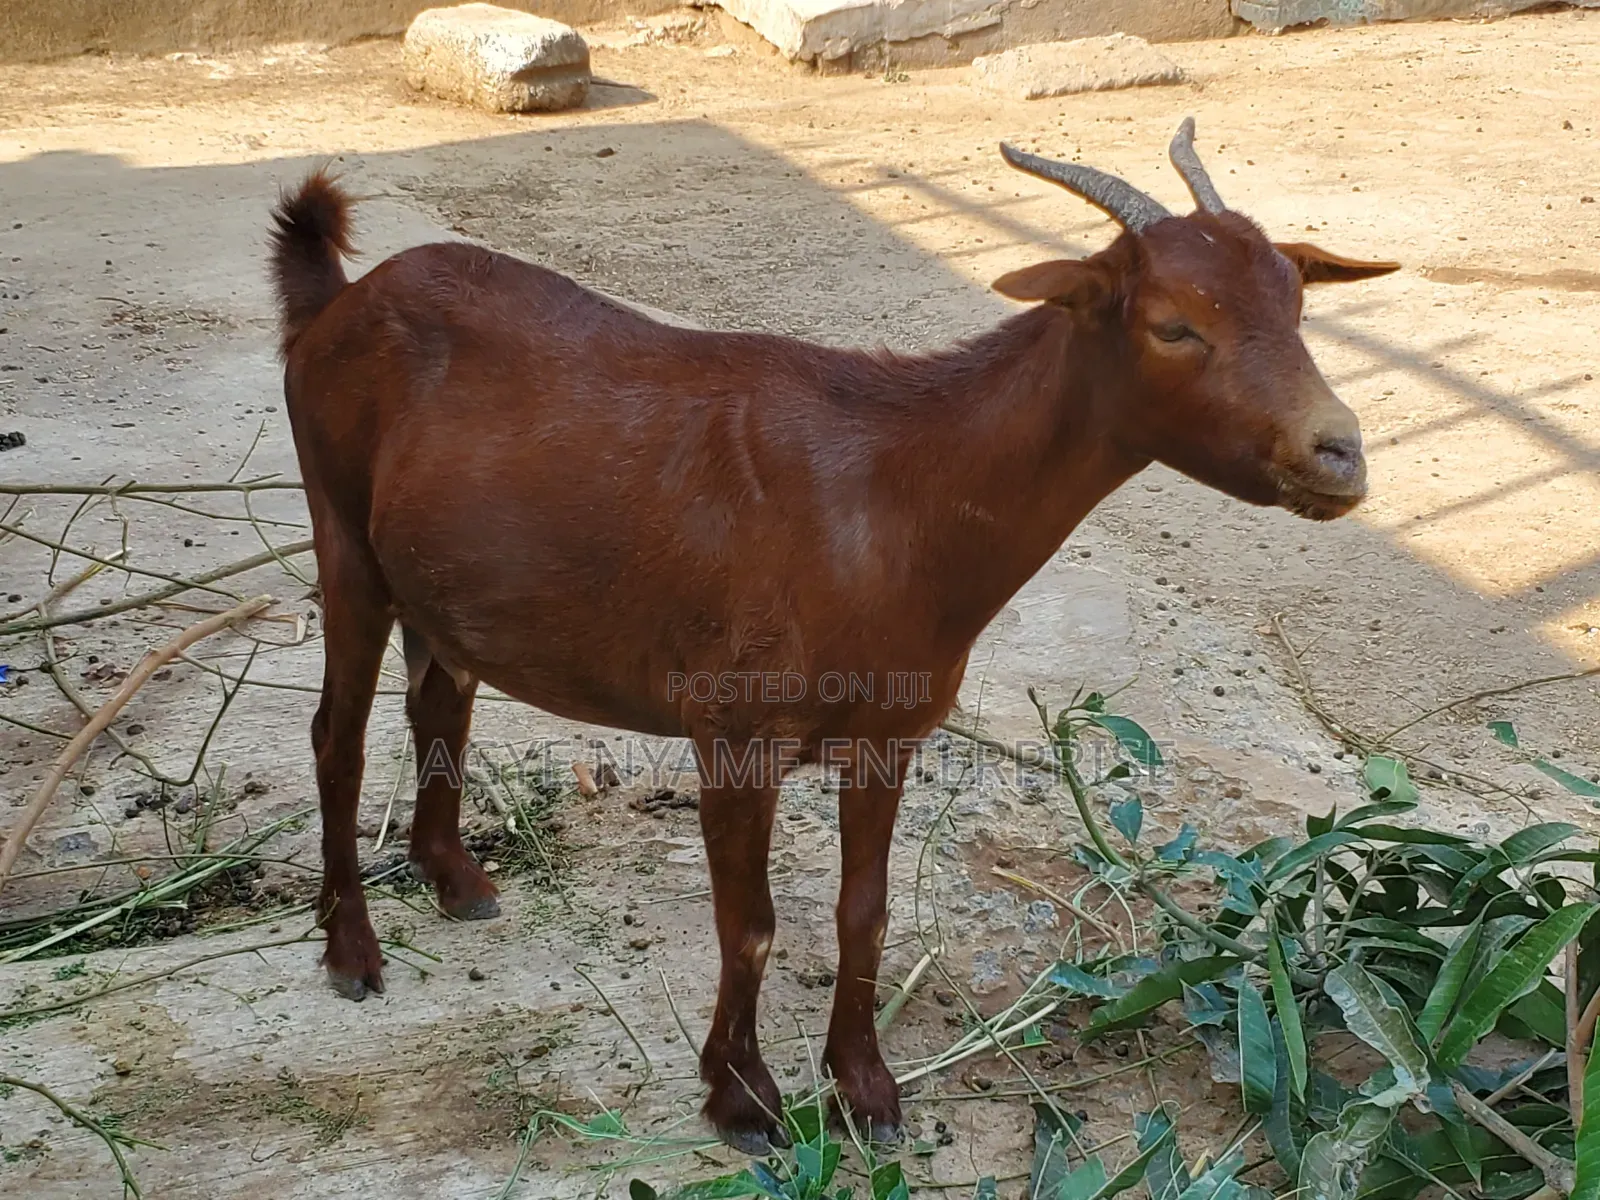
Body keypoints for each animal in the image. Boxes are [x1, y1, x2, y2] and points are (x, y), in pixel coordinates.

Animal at [268, 118, 1397, 1152]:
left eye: (1298, 307)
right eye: (1171, 326)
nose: (1338, 455)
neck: (892, 499)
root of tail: (334, 303)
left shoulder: (890, 733)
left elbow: (868, 911)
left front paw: (866, 1088)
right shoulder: (731, 732)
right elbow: (752, 926)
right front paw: (743, 1099)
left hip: (443, 582)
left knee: (439, 699)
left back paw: (454, 879)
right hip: (340, 529)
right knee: (335, 736)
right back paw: (352, 951)